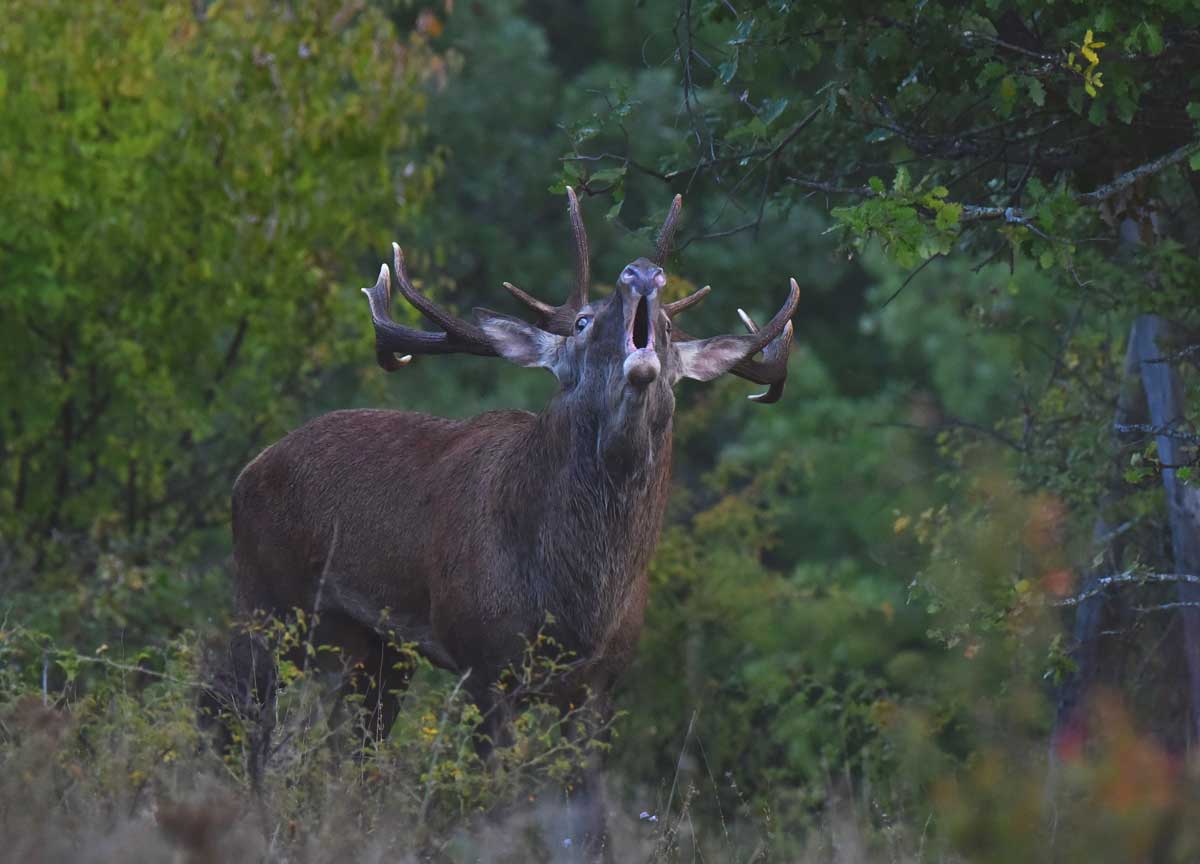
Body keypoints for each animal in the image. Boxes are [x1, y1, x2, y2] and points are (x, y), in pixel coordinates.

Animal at [213, 190, 796, 849]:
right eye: (581, 322)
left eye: (670, 329)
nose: (642, 271)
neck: (575, 602)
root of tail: (247, 471)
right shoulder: (484, 660)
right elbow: (497, 801)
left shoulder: (599, 685)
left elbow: (590, 822)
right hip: (265, 601)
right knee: (243, 721)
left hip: (376, 649)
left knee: (350, 751)